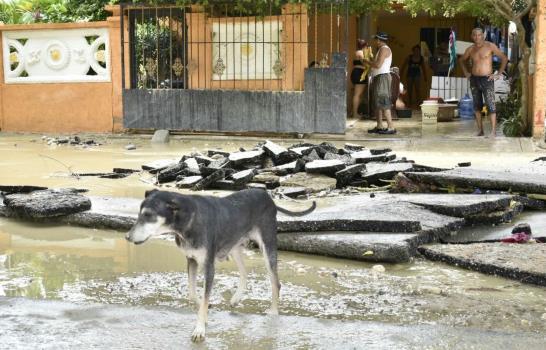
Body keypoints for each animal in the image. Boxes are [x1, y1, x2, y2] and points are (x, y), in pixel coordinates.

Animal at [124, 189, 314, 342]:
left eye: (148, 215)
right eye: (140, 214)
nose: (127, 237)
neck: (189, 219)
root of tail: (268, 196)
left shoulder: (209, 266)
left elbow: (203, 295)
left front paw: (200, 329)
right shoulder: (191, 260)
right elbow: (193, 293)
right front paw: (205, 312)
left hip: (267, 247)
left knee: (275, 282)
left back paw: (273, 312)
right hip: (234, 246)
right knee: (245, 272)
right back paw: (236, 298)